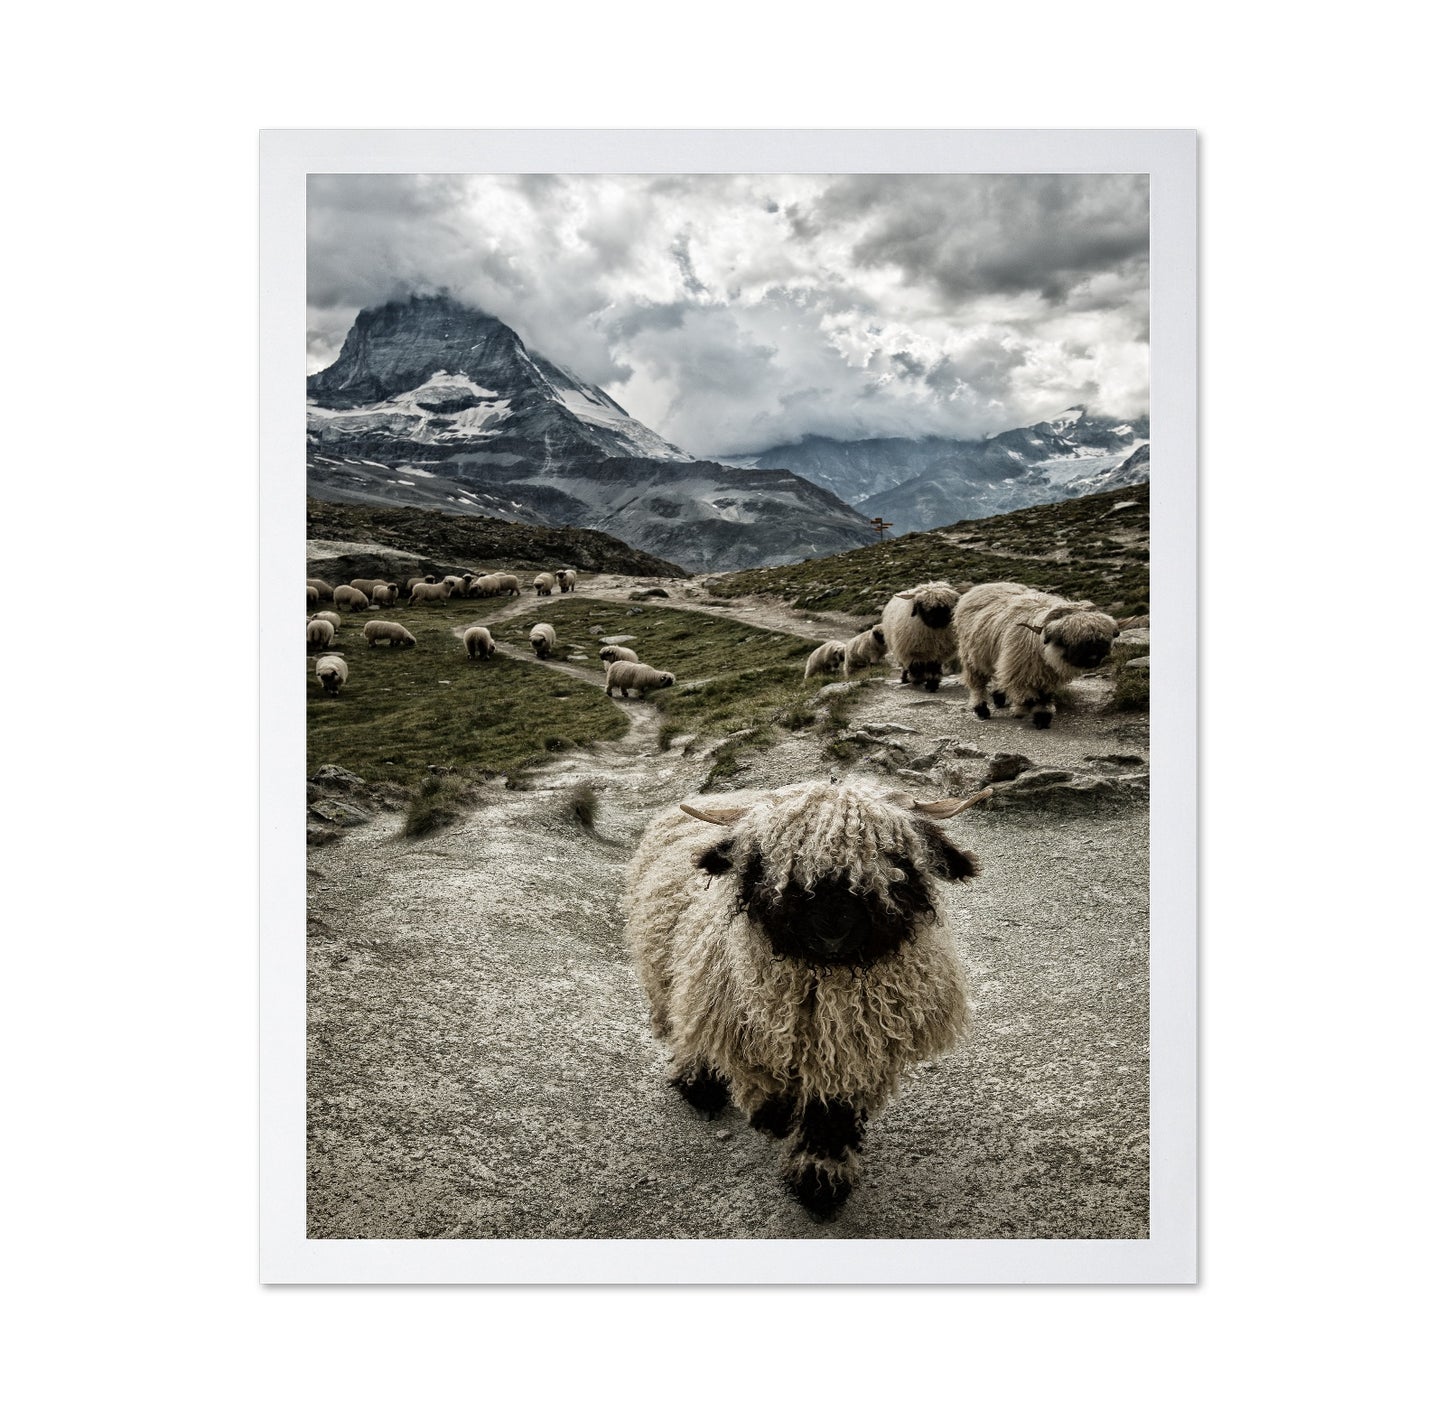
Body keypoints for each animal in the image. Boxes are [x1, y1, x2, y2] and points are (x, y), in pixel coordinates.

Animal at [624, 779, 990, 1218]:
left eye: (897, 858)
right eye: (770, 860)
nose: (832, 928)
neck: (826, 987)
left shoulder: (852, 1054)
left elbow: (830, 1117)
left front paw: (820, 1183)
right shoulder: (752, 1031)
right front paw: (775, 1120)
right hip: (676, 978)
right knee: (688, 1026)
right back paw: (699, 1082)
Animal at [955, 582, 1120, 729]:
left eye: (1101, 640)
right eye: (1067, 641)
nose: (1094, 658)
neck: (1041, 649)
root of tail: (983, 586)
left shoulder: (1047, 677)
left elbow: (1044, 698)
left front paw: (1042, 718)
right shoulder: (1019, 672)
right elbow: (1029, 699)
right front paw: (1020, 710)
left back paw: (999, 697)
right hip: (972, 659)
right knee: (977, 686)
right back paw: (981, 709)